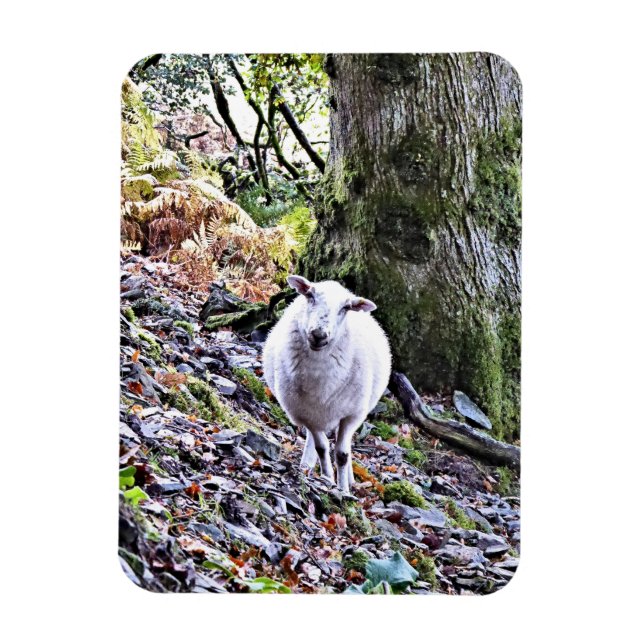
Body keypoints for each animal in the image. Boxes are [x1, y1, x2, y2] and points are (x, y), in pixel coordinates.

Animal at [262, 275, 392, 491]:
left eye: (346, 308)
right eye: (310, 296)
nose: (319, 335)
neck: (321, 383)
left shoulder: (351, 415)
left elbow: (342, 454)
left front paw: (343, 489)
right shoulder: (307, 415)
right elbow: (321, 448)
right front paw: (327, 478)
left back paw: (349, 479)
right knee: (312, 441)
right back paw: (306, 465)